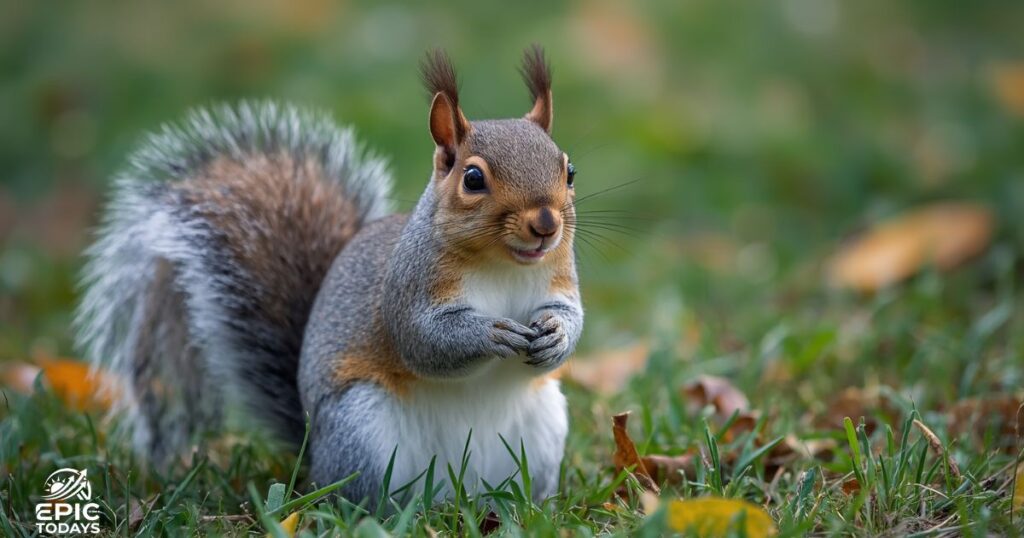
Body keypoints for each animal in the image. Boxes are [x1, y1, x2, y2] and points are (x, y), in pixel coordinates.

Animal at [76, 46, 582, 503]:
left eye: (569, 170)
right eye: (473, 179)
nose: (546, 224)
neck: (503, 264)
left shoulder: (560, 280)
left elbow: (569, 316)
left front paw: (555, 335)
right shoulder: (407, 287)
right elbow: (423, 341)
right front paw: (491, 333)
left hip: (543, 427)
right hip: (363, 431)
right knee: (364, 498)